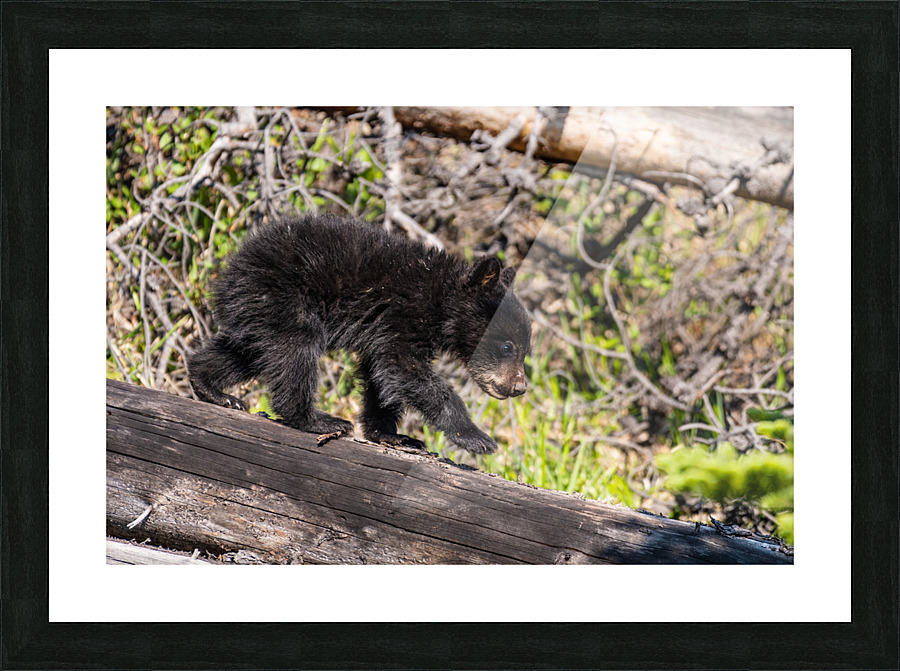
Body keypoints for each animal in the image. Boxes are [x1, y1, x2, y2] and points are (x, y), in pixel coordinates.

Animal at [186, 212, 532, 454]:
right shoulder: (403, 315)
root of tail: (231, 267)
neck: (439, 303)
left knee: (245, 351)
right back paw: (318, 420)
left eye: (525, 351)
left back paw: (213, 388)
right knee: (296, 353)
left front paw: (395, 436)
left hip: (260, 312)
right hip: (287, 298)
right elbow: (404, 369)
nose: (519, 387)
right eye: (507, 346)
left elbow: (381, 375)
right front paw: (476, 438)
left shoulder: (384, 330)